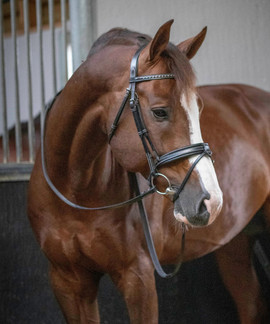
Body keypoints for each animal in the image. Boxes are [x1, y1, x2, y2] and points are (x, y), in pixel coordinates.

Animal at [28, 20, 270, 324]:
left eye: (199, 108)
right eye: (159, 112)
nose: (211, 201)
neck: (76, 192)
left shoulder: (138, 276)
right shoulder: (68, 281)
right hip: (234, 243)